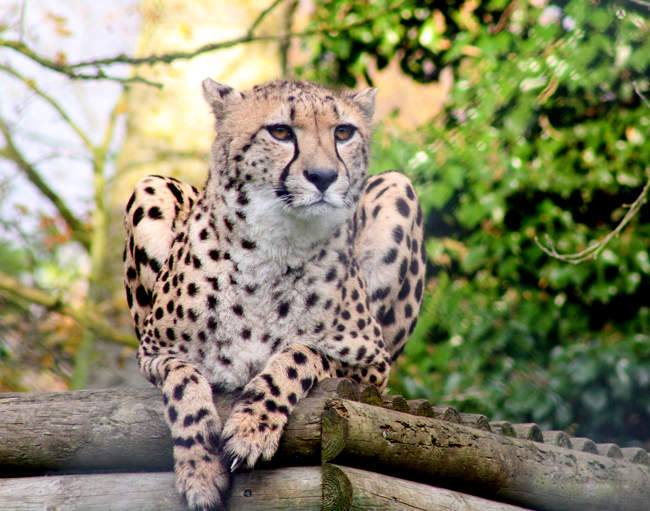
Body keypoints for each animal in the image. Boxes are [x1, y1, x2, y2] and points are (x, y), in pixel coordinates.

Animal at [123, 78, 426, 511]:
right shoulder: (152, 352)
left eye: (343, 132)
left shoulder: (372, 363)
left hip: (399, 187)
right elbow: (184, 381)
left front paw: (252, 427)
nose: (323, 176)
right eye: (281, 131)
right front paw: (199, 468)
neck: (272, 245)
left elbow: (298, 355)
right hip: (150, 186)